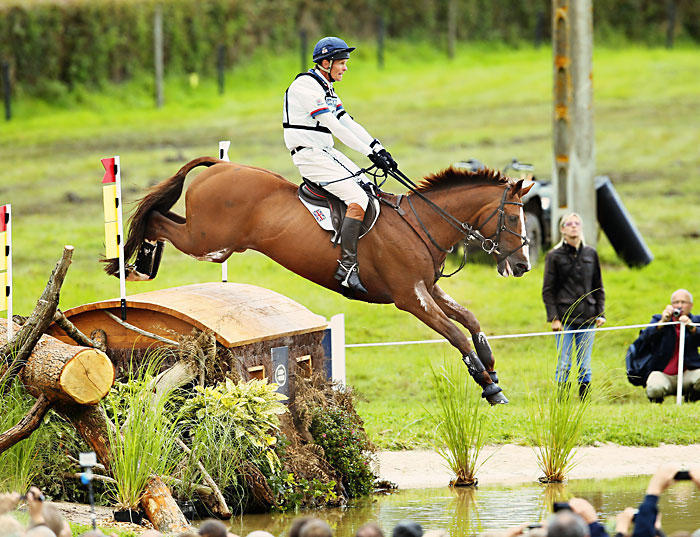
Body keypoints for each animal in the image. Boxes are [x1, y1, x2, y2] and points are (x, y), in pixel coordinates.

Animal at [102, 157, 532, 404]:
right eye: (513, 218)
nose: (524, 265)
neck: (420, 223)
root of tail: (220, 167)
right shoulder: (410, 297)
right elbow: (455, 333)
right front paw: (488, 385)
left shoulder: (428, 288)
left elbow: (470, 320)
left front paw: (490, 366)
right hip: (207, 240)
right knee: (156, 219)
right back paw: (135, 264)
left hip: (215, 243)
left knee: (162, 217)